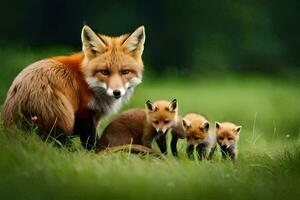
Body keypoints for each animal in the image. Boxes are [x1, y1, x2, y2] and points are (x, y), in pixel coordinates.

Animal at [1, 25, 146, 149]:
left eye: (125, 72)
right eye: (104, 72)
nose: (117, 92)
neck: (87, 81)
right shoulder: (85, 114)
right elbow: (91, 144)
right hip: (64, 117)